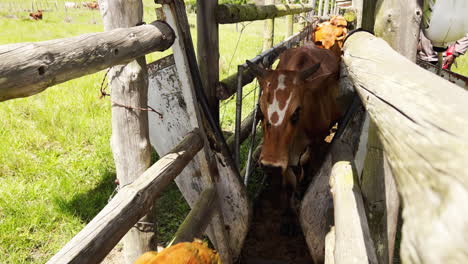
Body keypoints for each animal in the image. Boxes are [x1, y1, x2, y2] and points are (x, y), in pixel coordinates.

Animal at [247, 43, 342, 235]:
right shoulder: (285, 156)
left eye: (297, 111)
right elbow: (289, 182)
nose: (270, 165)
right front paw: (287, 218)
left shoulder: (317, 140)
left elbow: (310, 166)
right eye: (261, 110)